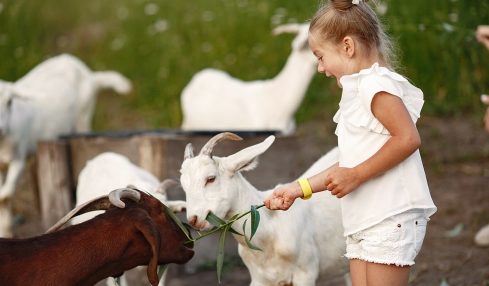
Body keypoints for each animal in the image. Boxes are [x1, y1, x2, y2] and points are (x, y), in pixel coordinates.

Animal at [0, 53, 132, 206]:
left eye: (9, 102)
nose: (1, 128)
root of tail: (90, 75)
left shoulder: (19, 155)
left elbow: (5, 195)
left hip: (83, 115)